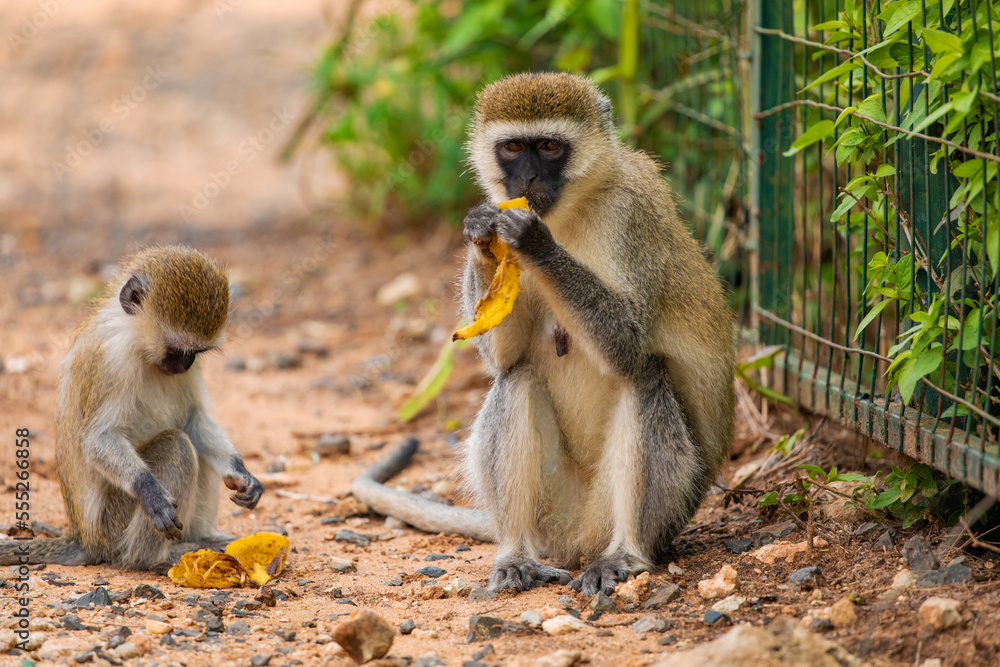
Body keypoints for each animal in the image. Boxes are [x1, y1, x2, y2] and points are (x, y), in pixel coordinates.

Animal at [0, 245, 263, 570]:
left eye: (196, 353)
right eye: (177, 350)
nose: (185, 365)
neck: (137, 346)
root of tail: (85, 539)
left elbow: (193, 418)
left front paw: (241, 473)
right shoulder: (110, 360)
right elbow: (97, 439)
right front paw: (149, 491)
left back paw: (203, 539)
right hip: (113, 526)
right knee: (177, 445)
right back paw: (155, 558)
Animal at [353, 72, 734, 596]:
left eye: (551, 147)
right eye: (513, 147)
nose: (527, 181)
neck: (570, 212)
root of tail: (576, 541)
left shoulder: (631, 215)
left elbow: (629, 343)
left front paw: (535, 242)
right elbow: (503, 355)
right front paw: (481, 232)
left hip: (643, 510)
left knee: (643, 377)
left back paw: (625, 554)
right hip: (554, 510)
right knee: (518, 379)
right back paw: (517, 554)